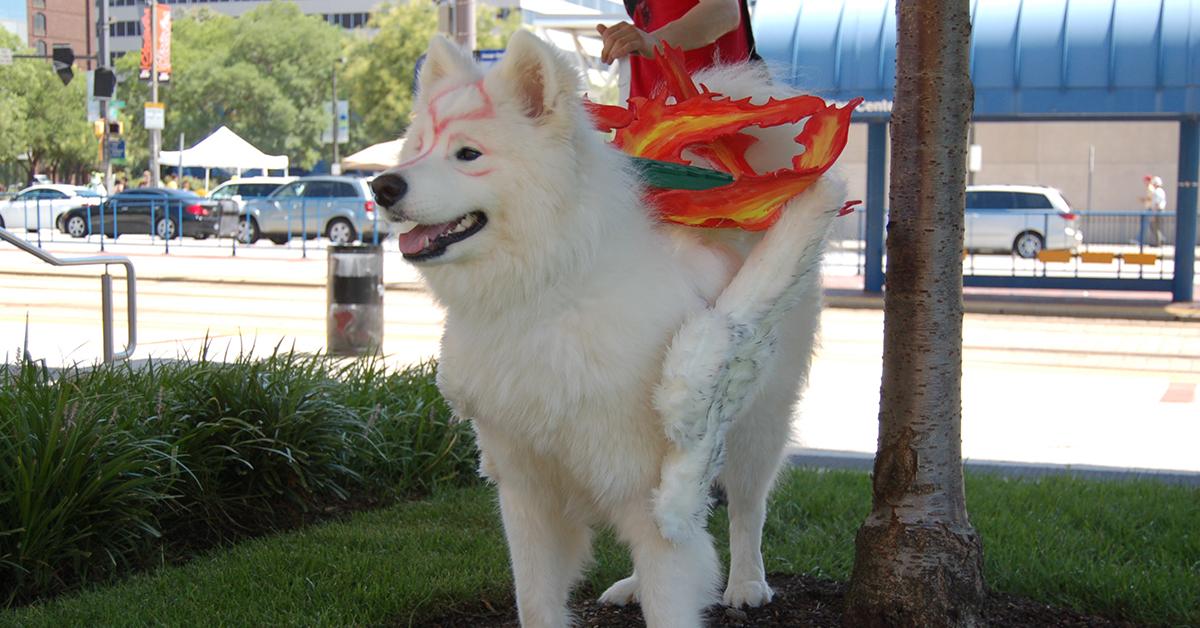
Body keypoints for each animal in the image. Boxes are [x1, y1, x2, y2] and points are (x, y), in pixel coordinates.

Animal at [369, 33, 849, 628]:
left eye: (468, 154)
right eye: (416, 148)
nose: (382, 185)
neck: (547, 295)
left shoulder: (654, 488)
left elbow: (674, 595)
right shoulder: (526, 488)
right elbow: (536, 600)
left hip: (754, 421)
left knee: (748, 505)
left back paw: (747, 583)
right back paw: (633, 586)